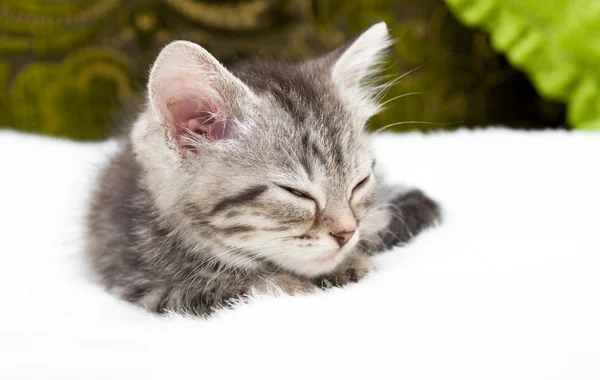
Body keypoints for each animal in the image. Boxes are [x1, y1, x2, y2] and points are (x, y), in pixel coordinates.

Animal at [85, 22, 440, 316]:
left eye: (360, 182)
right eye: (296, 192)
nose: (346, 233)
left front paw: (352, 262)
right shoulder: (146, 285)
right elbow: (253, 288)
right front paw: (292, 283)